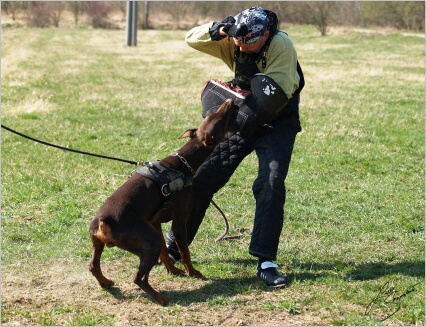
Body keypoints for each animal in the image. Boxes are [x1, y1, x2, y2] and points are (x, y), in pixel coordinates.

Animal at [88, 98, 235, 306]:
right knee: (139, 278)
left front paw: (173, 271)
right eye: (220, 119)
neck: (183, 163)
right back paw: (162, 298)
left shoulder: (154, 221)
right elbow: (185, 252)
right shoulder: (180, 221)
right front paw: (193, 273)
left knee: (93, 265)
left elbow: (165, 252)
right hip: (150, 242)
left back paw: (106, 282)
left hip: (99, 242)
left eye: (213, 115)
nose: (229, 101)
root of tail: (103, 222)